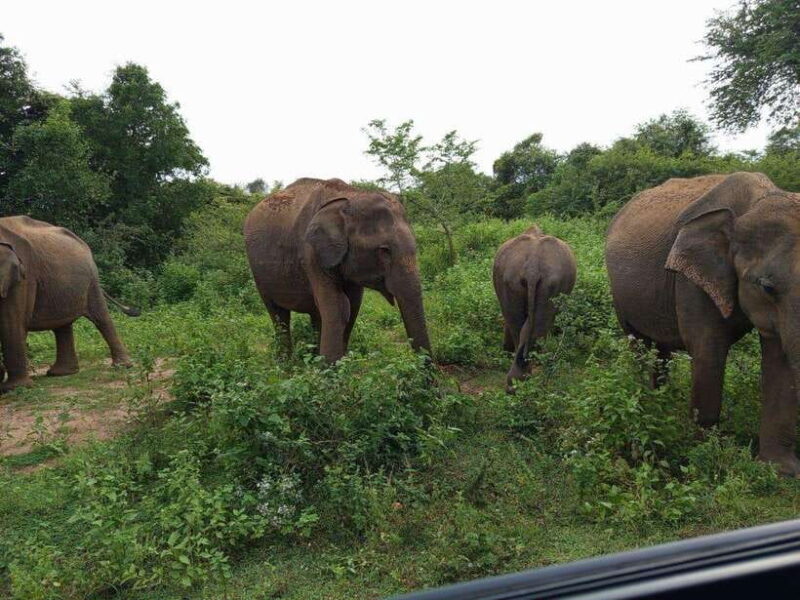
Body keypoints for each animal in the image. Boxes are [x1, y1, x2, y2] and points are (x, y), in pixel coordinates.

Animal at [0, 216, 139, 393]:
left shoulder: (23, 276)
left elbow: (11, 323)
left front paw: (14, 388)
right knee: (63, 324)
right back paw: (61, 373)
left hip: (92, 281)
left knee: (101, 317)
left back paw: (123, 366)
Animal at [243, 178, 431, 362]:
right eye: (384, 250)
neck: (351, 195)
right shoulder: (310, 252)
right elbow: (339, 305)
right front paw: (331, 369)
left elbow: (353, 306)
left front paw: (339, 363)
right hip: (258, 272)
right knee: (278, 314)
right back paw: (286, 365)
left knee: (315, 313)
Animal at [605, 171, 800, 476]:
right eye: (767, 287)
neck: (758, 199)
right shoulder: (691, 281)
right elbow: (709, 351)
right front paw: (703, 457)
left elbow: (779, 359)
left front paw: (780, 472)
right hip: (620, 295)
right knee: (639, 345)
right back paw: (643, 403)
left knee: (660, 351)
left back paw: (661, 401)